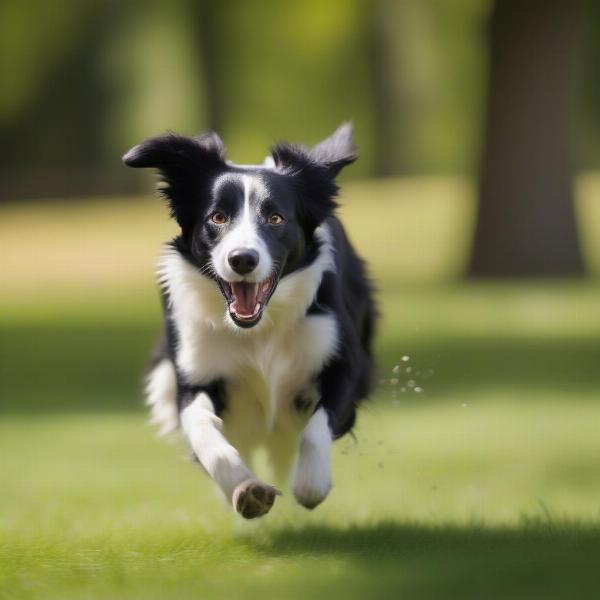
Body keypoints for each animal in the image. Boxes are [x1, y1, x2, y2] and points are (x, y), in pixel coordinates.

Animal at [122, 122, 376, 516]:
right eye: (218, 217)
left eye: (275, 218)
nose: (242, 259)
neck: (259, 329)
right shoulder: (195, 371)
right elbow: (201, 426)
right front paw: (244, 487)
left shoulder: (345, 362)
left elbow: (316, 426)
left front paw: (311, 484)